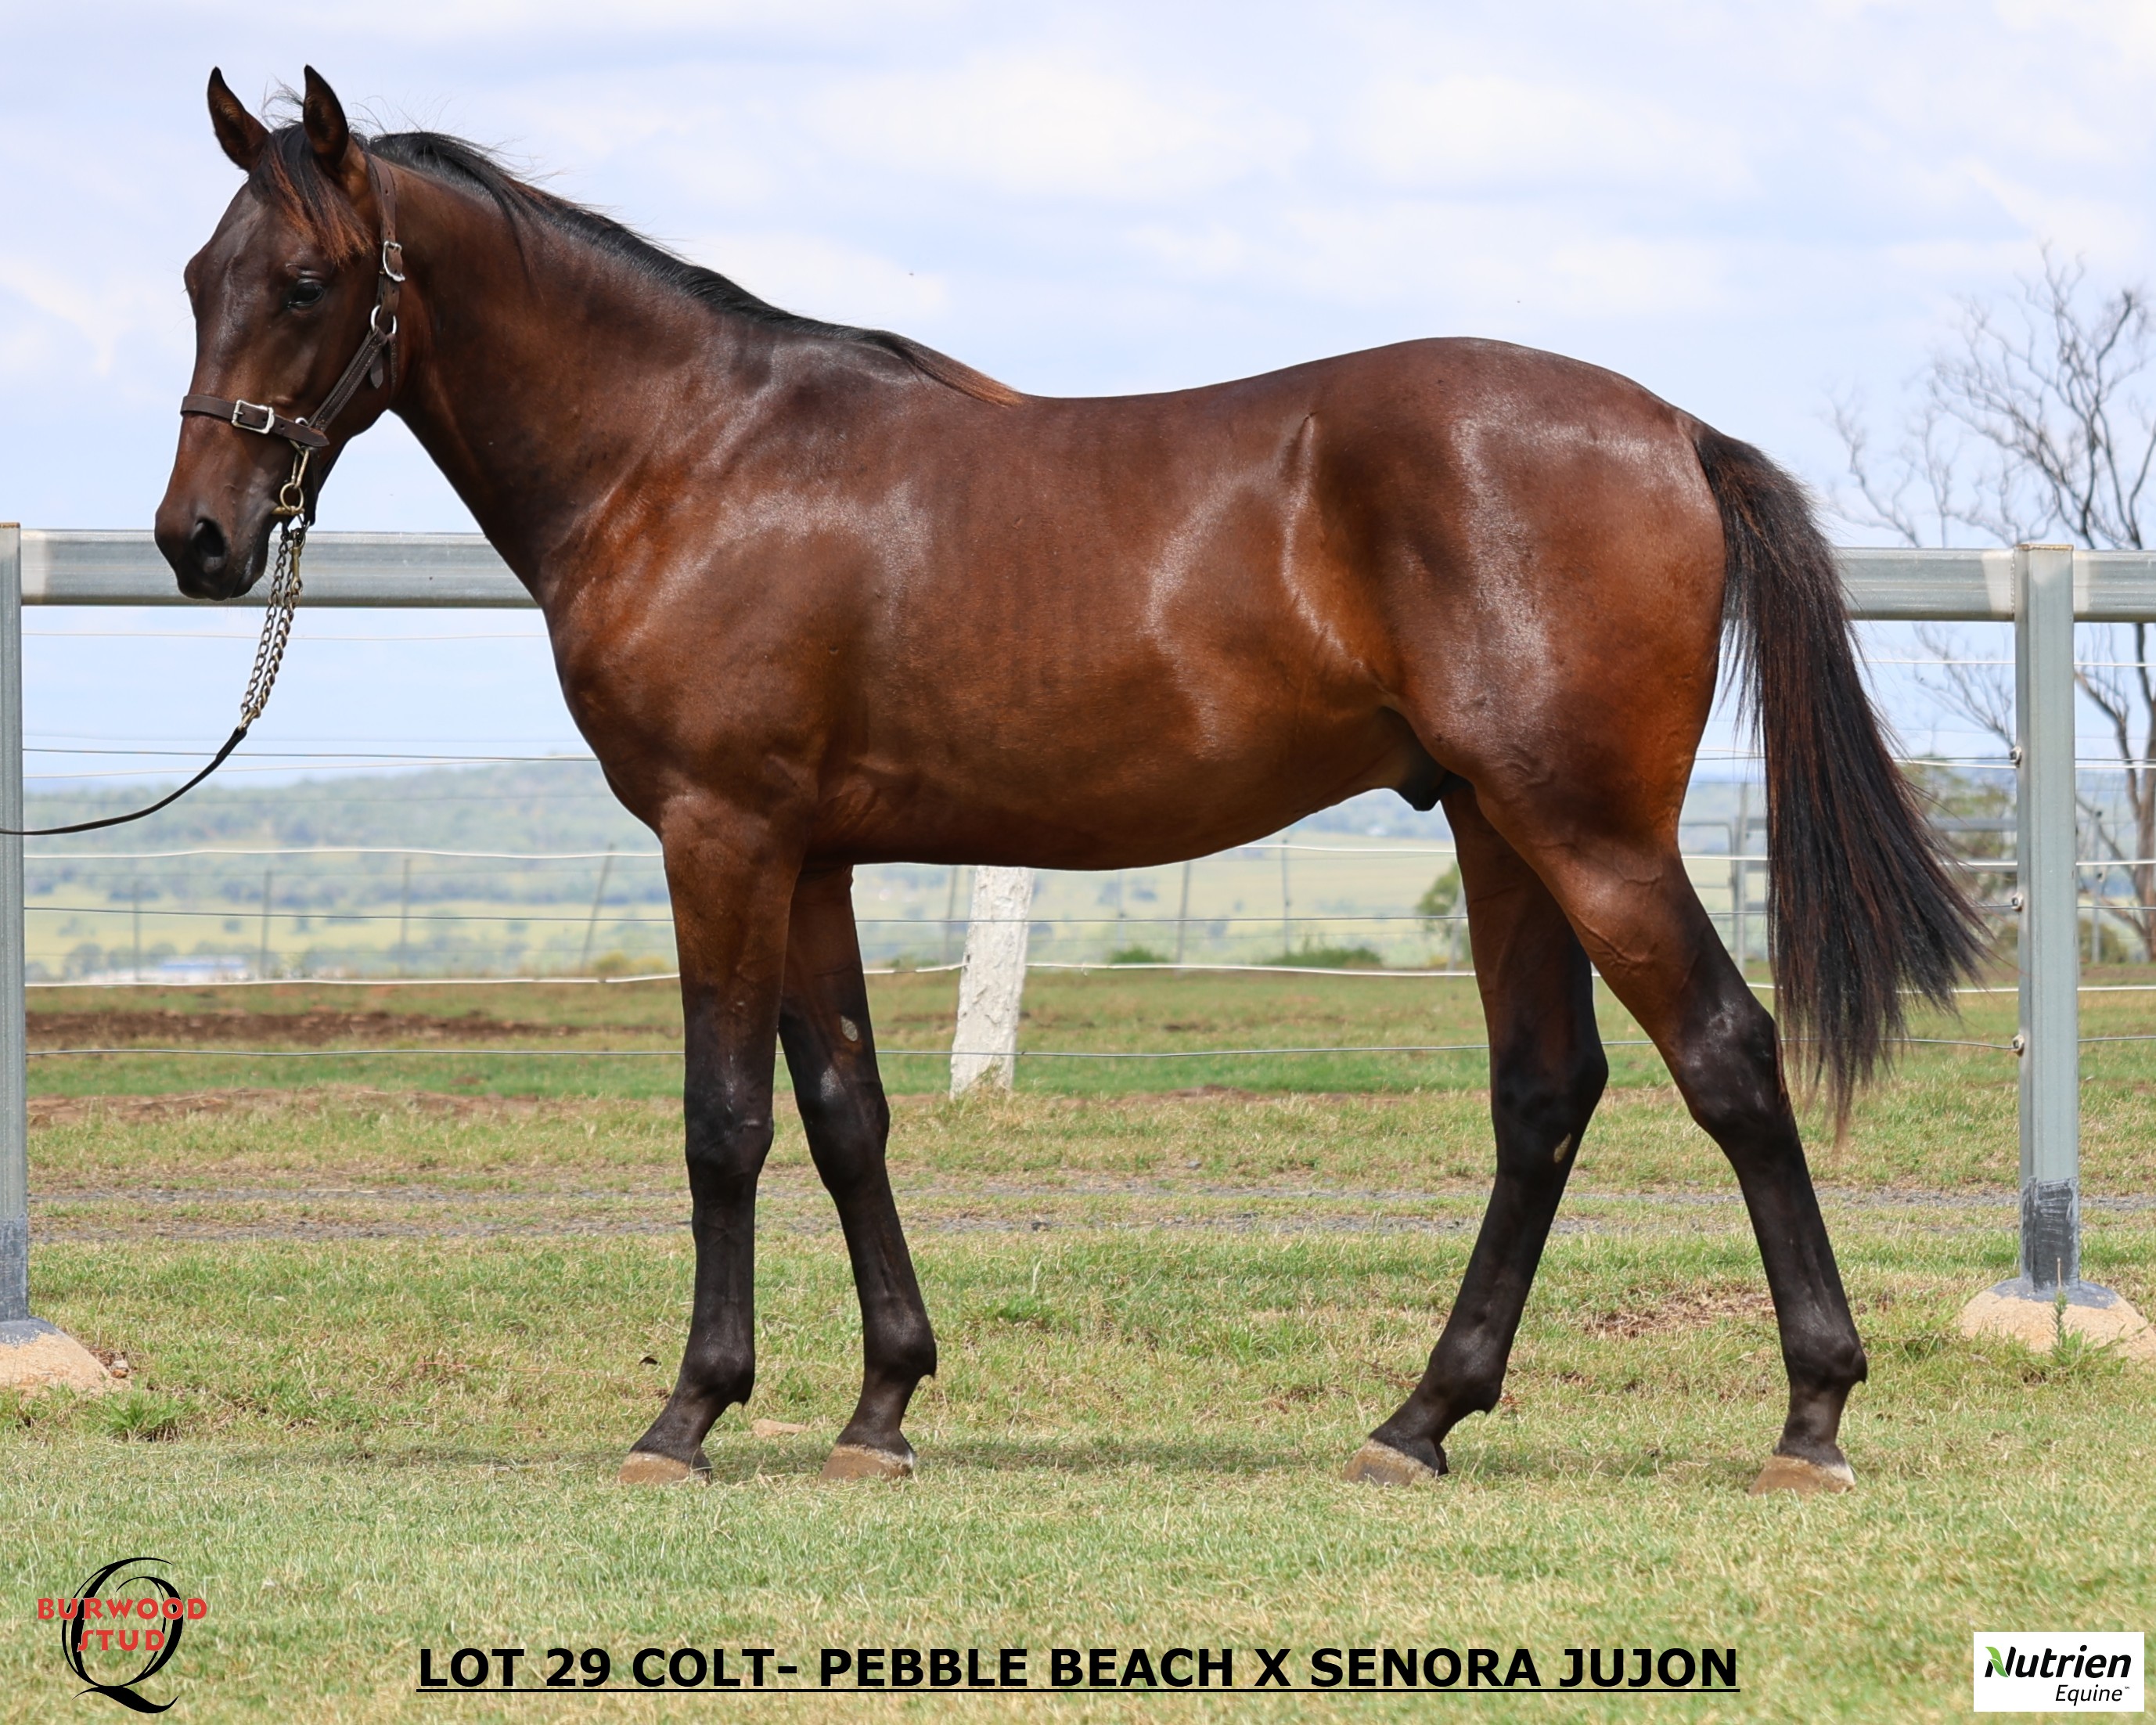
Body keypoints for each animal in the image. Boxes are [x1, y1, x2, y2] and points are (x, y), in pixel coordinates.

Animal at [156, 68, 1981, 1495]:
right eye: (195, 274)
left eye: (309, 280)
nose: (198, 539)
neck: (689, 455)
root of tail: (1671, 428)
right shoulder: (809, 855)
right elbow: (846, 1112)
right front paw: (880, 1406)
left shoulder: (719, 834)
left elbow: (723, 1119)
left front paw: (690, 1412)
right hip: (1497, 828)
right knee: (1545, 1093)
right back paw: (1420, 1418)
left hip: (1586, 829)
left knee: (1727, 1059)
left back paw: (1811, 1414)